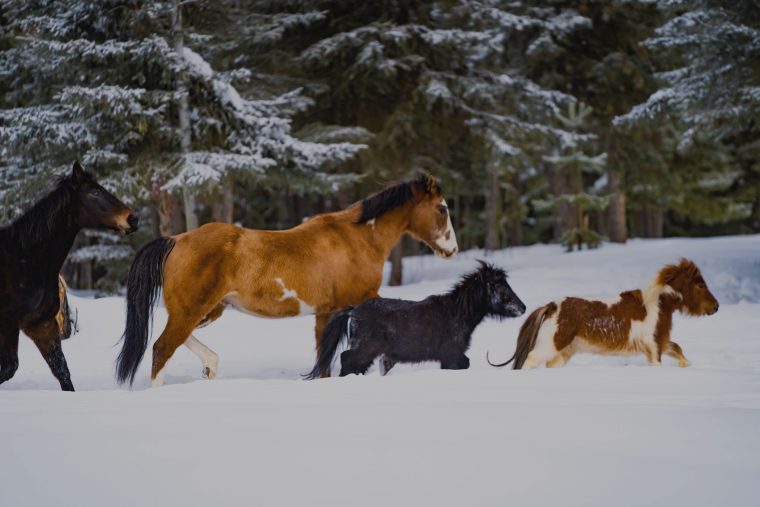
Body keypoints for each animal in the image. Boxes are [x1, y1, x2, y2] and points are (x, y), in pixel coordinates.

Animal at [0, 161, 138, 391]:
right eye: (95, 192)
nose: (132, 219)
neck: (27, 258)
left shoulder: (42, 325)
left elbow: (62, 371)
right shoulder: (8, 323)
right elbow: (9, 368)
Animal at [116, 174, 459, 387]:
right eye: (442, 208)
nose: (452, 249)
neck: (356, 240)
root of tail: (176, 240)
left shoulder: (325, 314)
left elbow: (323, 363)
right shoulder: (348, 307)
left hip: (209, 309)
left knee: (174, 339)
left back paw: (211, 366)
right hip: (194, 309)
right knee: (161, 348)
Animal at [305, 261, 526, 378]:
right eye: (500, 286)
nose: (522, 307)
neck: (457, 313)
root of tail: (353, 311)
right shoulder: (451, 355)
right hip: (364, 349)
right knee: (347, 360)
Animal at [487, 258, 719, 370]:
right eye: (700, 284)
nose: (716, 306)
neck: (656, 304)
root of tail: (551, 306)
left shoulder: (660, 343)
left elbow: (677, 348)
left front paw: (686, 365)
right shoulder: (653, 350)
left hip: (563, 353)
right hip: (548, 347)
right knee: (529, 361)